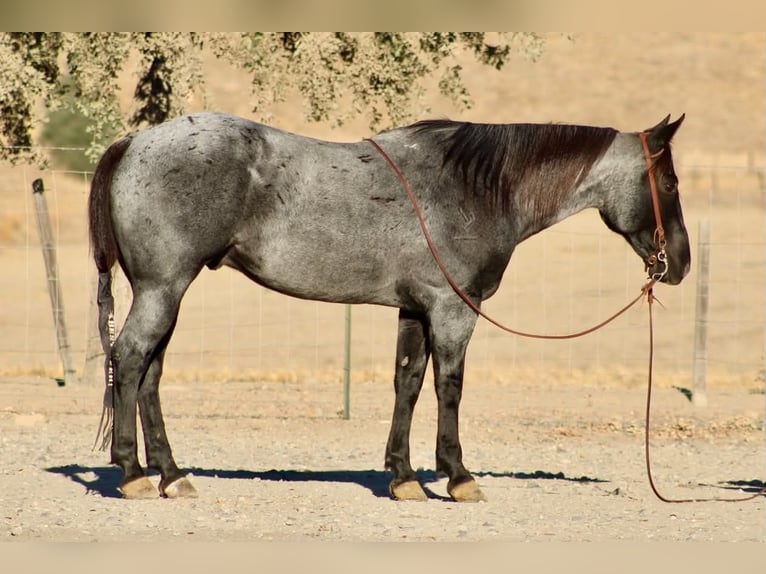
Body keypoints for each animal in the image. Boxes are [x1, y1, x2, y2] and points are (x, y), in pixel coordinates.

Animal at [88, 112, 690, 501]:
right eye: (669, 182)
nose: (679, 263)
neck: (473, 188)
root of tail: (134, 143)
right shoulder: (453, 310)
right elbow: (449, 387)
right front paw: (458, 475)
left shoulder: (416, 311)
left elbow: (408, 383)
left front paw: (403, 477)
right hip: (163, 289)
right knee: (131, 358)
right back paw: (133, 473)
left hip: (166, 292)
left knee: (149, 372)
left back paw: (171, 474)